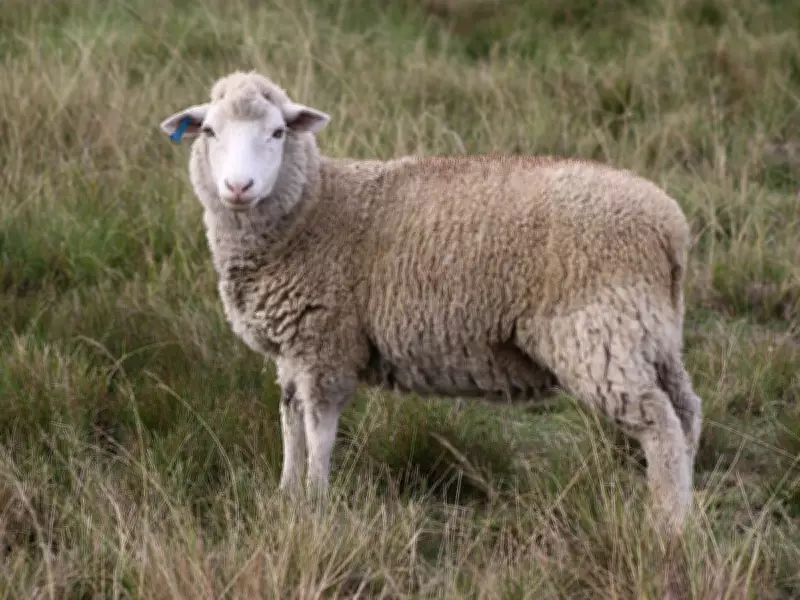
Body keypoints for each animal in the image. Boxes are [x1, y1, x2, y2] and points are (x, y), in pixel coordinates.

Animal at [158, 70, 702, 538]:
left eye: (276, 133)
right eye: (209, 131)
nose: (238, 188)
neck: (312, 210)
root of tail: (670, 225)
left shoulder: (327, 345)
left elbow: (318, 433)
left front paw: (313, 505)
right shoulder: (295, 350)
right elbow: (289, 422)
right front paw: (286, 496)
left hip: (599, 332)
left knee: (660, 425)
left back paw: (666, 526)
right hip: (650, 334)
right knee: (686, 413)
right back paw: (686, 505)